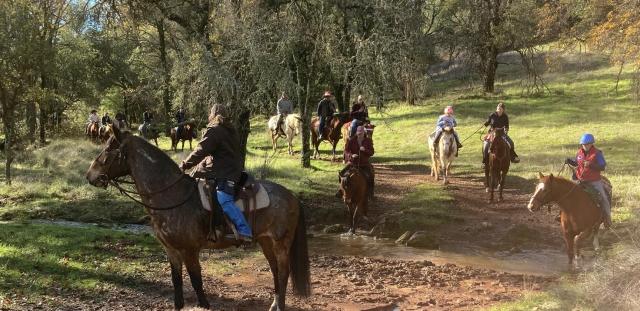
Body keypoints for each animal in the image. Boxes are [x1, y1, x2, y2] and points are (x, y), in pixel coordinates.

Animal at [86, 123, 312, 310]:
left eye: (109, 149)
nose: (90, 176)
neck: (172, 196)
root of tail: (292, 195)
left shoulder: (190, 250)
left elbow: (197, 285)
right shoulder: (172, 251)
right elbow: (177, 285)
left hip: (281, 244)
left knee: (283, 272)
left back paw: (279, 305)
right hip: (265, 242)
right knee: (275, 271)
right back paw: (274, 304)